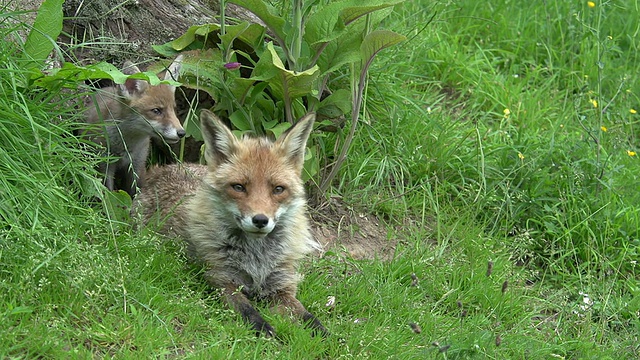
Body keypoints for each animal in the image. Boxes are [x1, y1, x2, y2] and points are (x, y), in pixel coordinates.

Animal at [82, 55, 185, 198]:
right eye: (156, 111)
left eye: (173, 109)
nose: (182, 133)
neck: (126, 145)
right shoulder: (104, 164)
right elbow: (108, 192)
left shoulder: (137, 165)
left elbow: (135, 192)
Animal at [137, 109, 328, 338]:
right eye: (239, 187)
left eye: (278, 189)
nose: (260, 220)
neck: (257, 259)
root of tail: (163, 169)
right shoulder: (221, 279)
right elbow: (248, 311)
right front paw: (265, 331)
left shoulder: (282, 287)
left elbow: (310, 318)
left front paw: (328, 336)